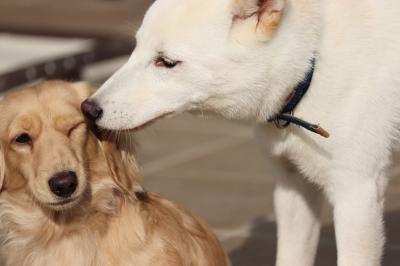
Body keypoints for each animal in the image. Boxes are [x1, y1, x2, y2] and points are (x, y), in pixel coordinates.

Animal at [82, 1, 400, 264]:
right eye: (135, 49)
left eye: (167, 62)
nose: (88, 108)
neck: (312, 60)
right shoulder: (293, 186)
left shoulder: (356, 195)